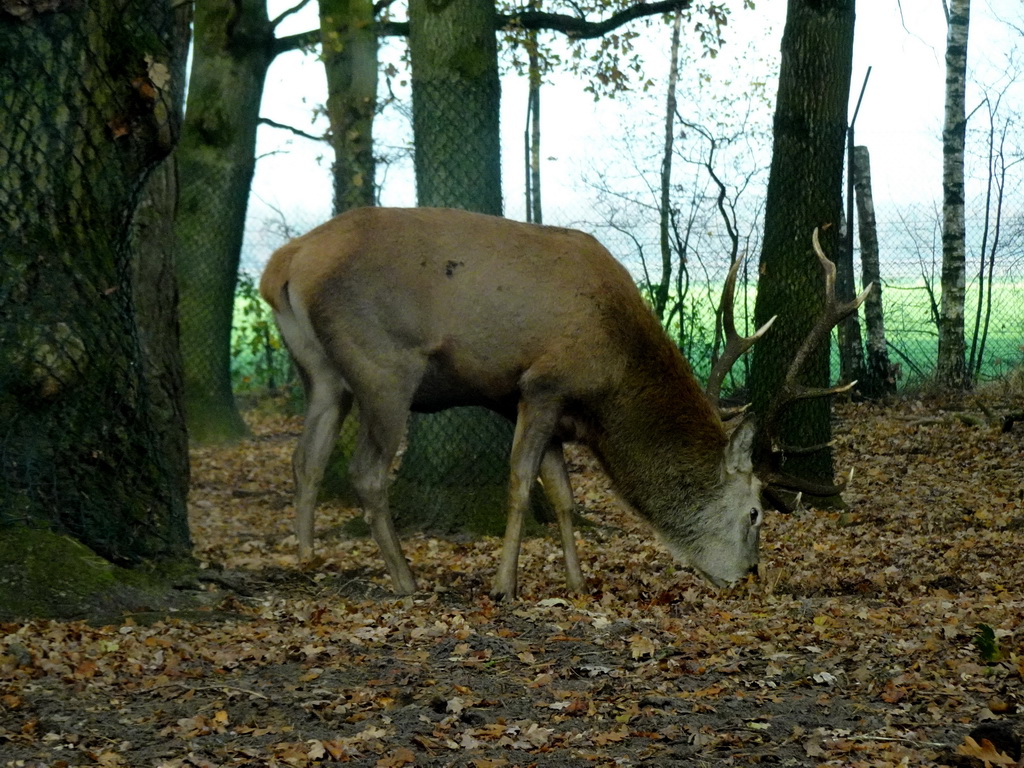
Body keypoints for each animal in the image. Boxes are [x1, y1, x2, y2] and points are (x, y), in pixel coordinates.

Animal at [256, 207, 864, 598]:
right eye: (755, 512)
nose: (749, 576)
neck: (610, 386)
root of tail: (283, 264)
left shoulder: (545, 409)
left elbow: (565, 496)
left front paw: (577, 584)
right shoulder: (542, 385)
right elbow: (522, 481)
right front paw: (504, 586)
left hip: (322, 372)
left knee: (306, 458)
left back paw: (308, 558)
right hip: (383, 364)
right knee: (366, 471)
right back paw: (406, 581)